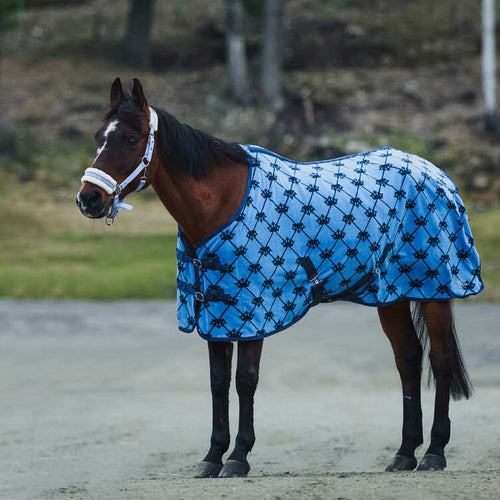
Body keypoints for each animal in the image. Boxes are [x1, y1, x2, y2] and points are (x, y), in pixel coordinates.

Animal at [76, 77, 482, 476]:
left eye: (131, 139)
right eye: (98, 136)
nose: (88, 199)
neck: (223, 202)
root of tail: (436, 173)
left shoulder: (253, 312)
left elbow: (245, 379)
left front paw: (238, 457)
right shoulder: (217, 313)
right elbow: (218, 382)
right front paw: (212, 456)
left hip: (434, 290)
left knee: (440, 359)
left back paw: (434, 452)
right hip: (392, 294)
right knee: (408, 359)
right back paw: (404, 453)